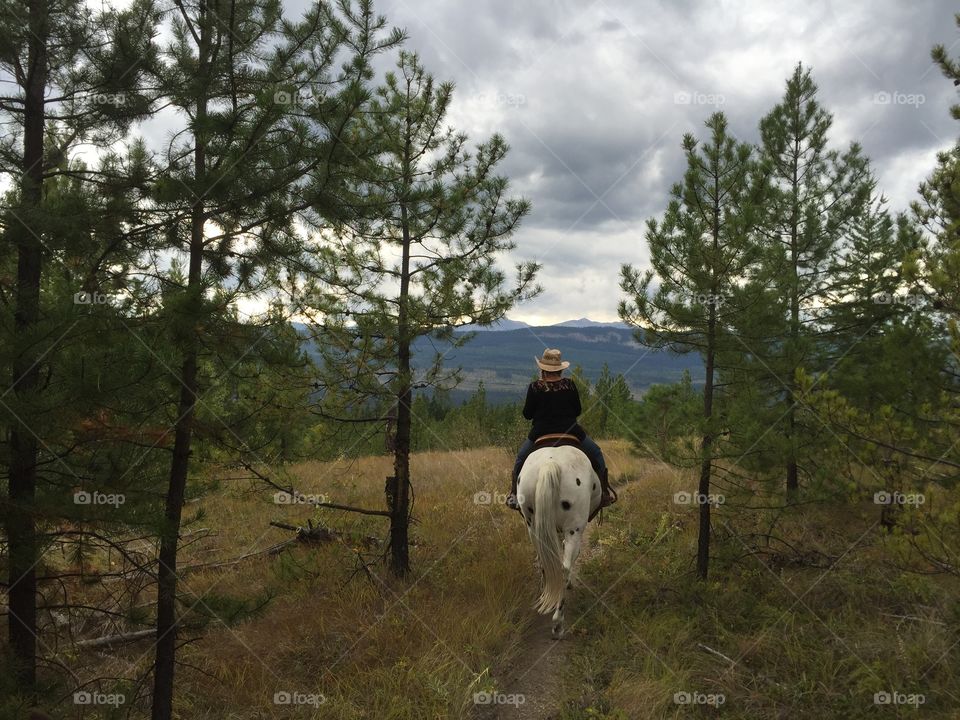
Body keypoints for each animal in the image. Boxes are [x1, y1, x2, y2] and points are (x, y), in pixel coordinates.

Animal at [516, 444, 600, 636]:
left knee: (544, 563)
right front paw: (569, 583)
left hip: (533, 528)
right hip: (574, 530)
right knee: (564, 567)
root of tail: (550, 464)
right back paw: (558, 622)